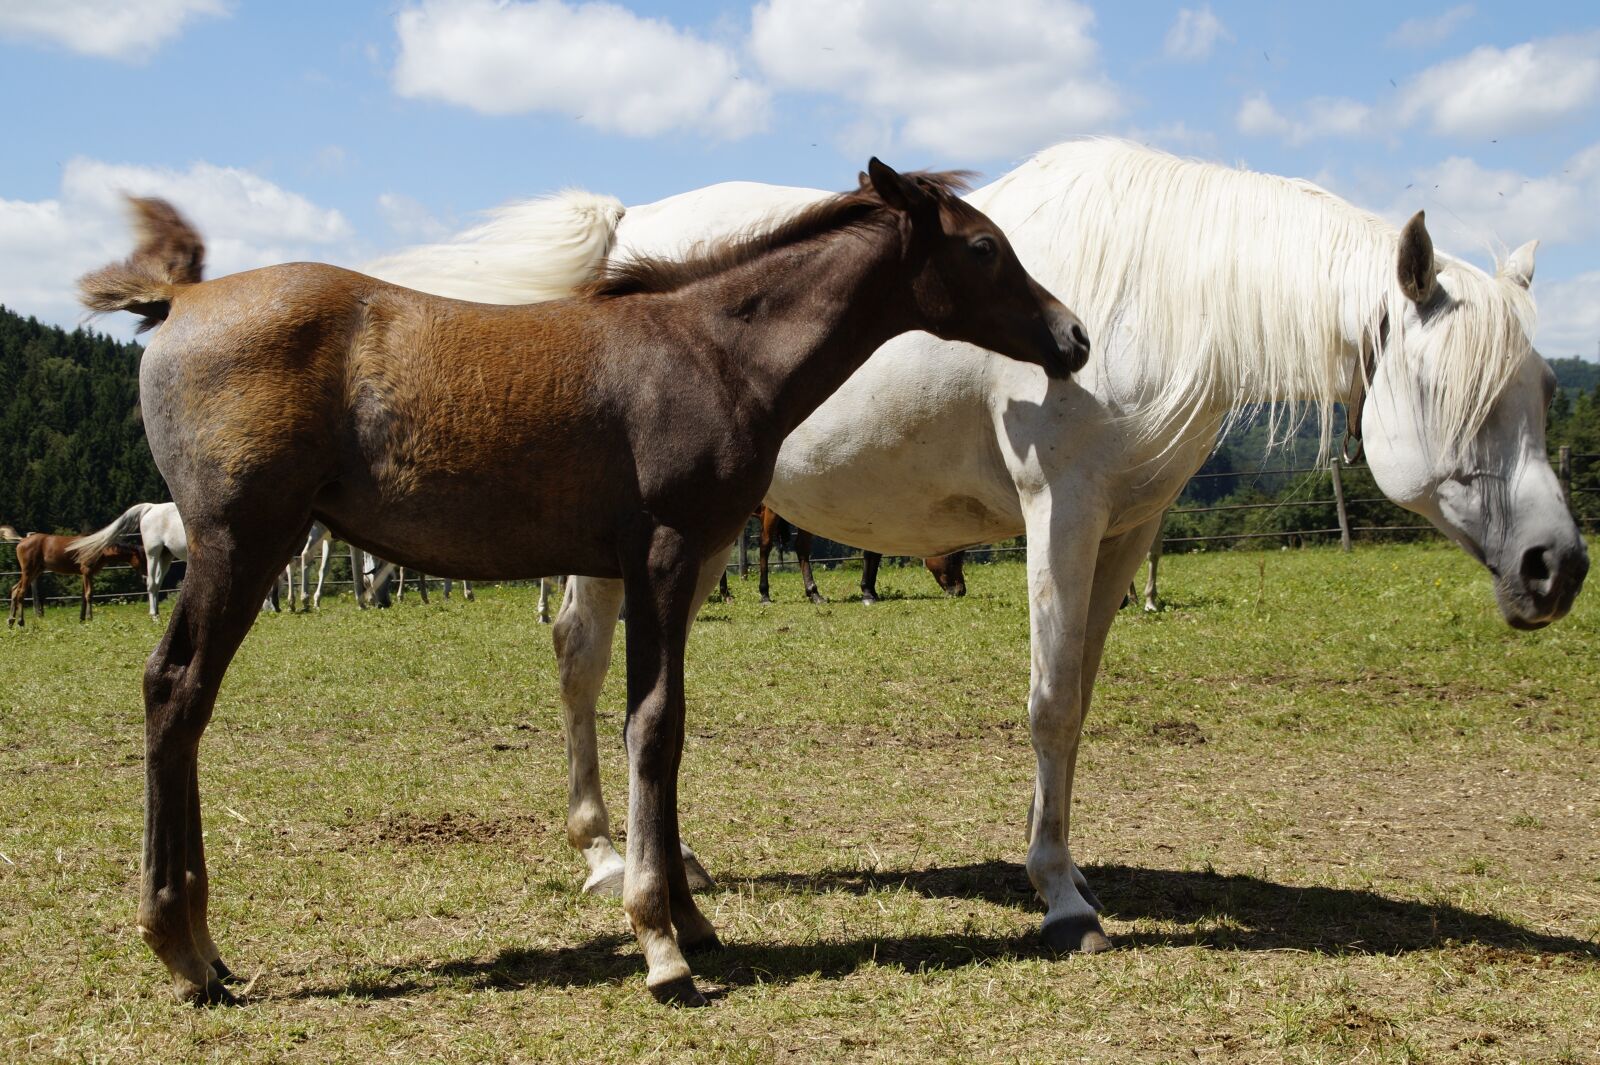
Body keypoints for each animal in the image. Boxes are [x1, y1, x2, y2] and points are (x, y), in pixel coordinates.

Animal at [7, 528, 144, 626]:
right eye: (142, 559)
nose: (145, 575)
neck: (100, 549)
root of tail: (21, 541)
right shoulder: (87, 571)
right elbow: (89, 594)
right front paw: (89, 618)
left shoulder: (84, 574)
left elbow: (83, 596)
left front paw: (82, 619)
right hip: (28, 570)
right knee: (21, 592)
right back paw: (20, 621)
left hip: (36, 570)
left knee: (15, 589)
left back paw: (11, 621)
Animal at [79, 162, 1089, 1007]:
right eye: (984, 246)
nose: (1073, 336)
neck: (713, 350)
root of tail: (179, 299)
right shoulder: (667, 552)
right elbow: (651, 725)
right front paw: (659, 940)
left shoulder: (669, 564)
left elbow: (664, 725)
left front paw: (690, 916)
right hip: (240, 542)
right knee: (176, 689)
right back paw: (181, 945)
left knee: (183, 697)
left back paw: (205, 949)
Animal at [381, 138, 1585, 960]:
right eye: (1455, 391)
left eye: (1540, 391)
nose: (1556, 567)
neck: (1155, 292)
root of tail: (626, 229)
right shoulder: (1063, 509)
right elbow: (1048, 702)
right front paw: (1061, 899)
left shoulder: (1125, 530)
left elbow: (1080, 702)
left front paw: (1068, 867)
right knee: (582, 655)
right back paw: (605, 858)